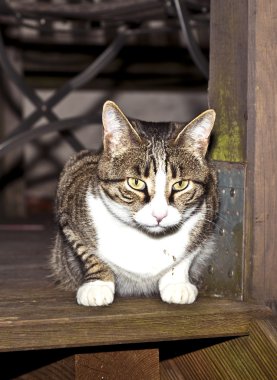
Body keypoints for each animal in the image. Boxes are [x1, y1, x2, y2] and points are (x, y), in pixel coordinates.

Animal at [50, 100, 218, 306]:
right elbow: (87, 251)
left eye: (181, 184)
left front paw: (176, 282)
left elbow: (189, 253)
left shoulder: (211, 206)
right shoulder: (68, 192)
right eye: (135, 183)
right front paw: (97, 284)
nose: (159, 215)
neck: (147, 239)